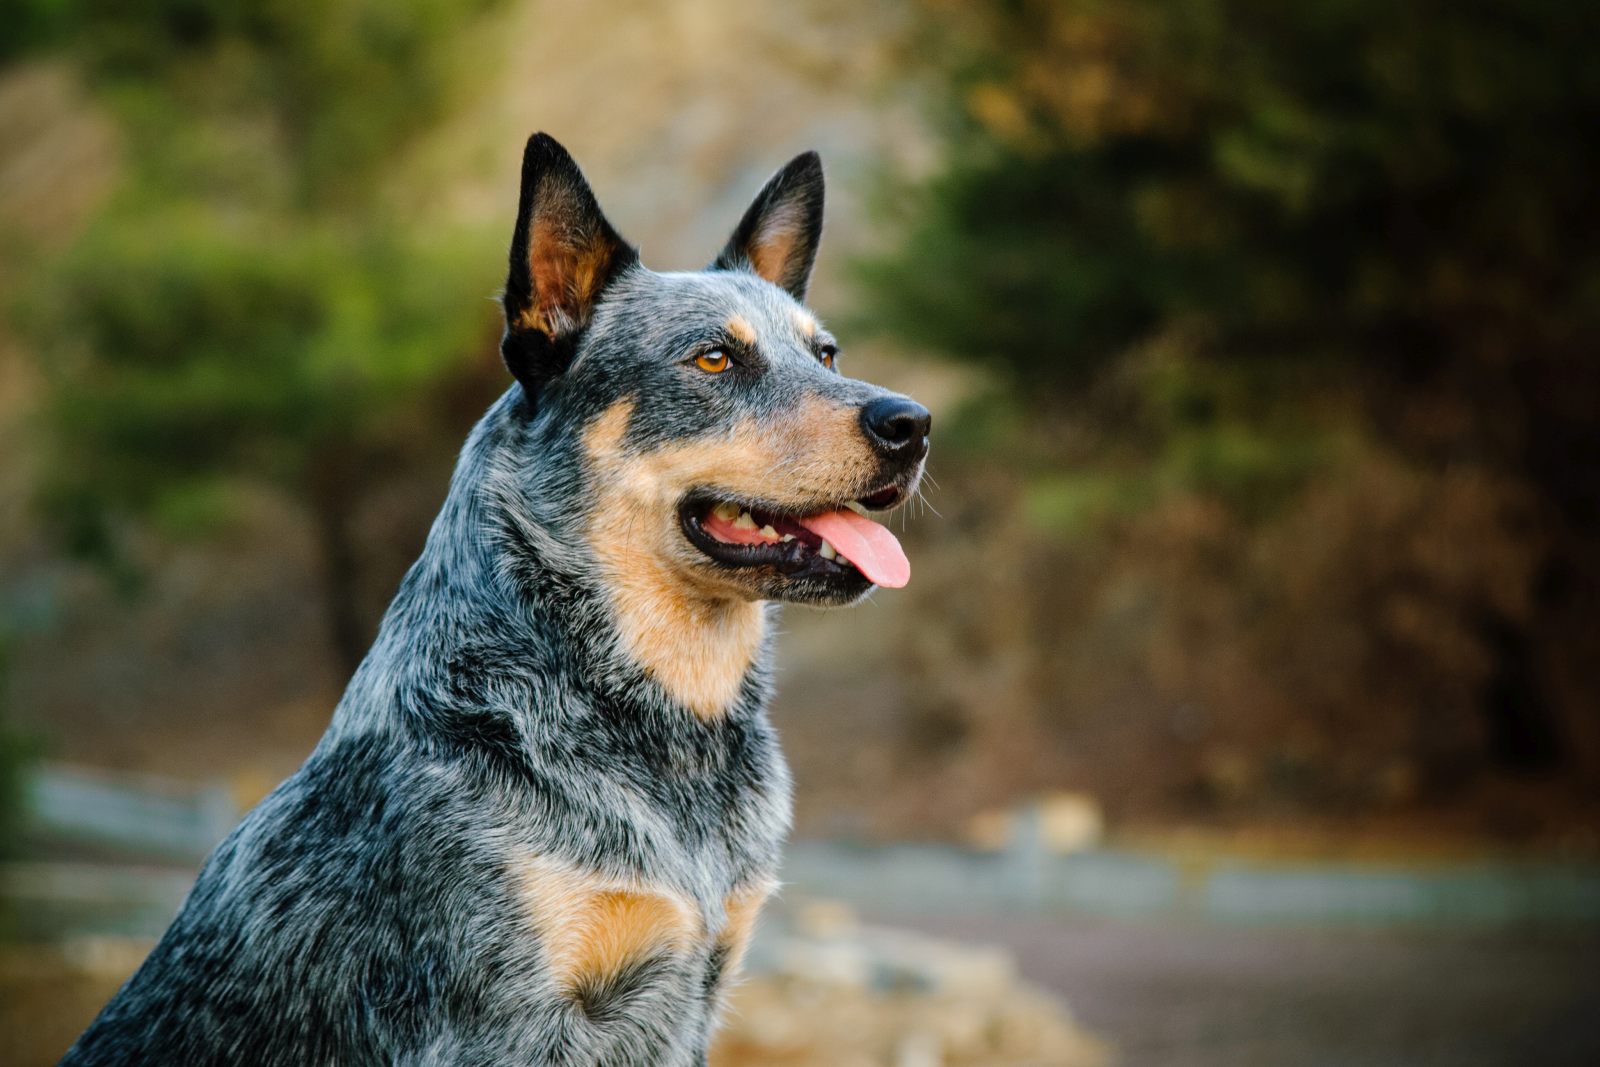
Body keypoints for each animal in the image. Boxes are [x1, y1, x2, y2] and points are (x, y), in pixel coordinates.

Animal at [62, 133, 934, 1067]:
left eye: (826, 354)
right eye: (713, 358)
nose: (913, 423)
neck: (665, 734)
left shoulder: (702, 982)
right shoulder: (504, 1019)